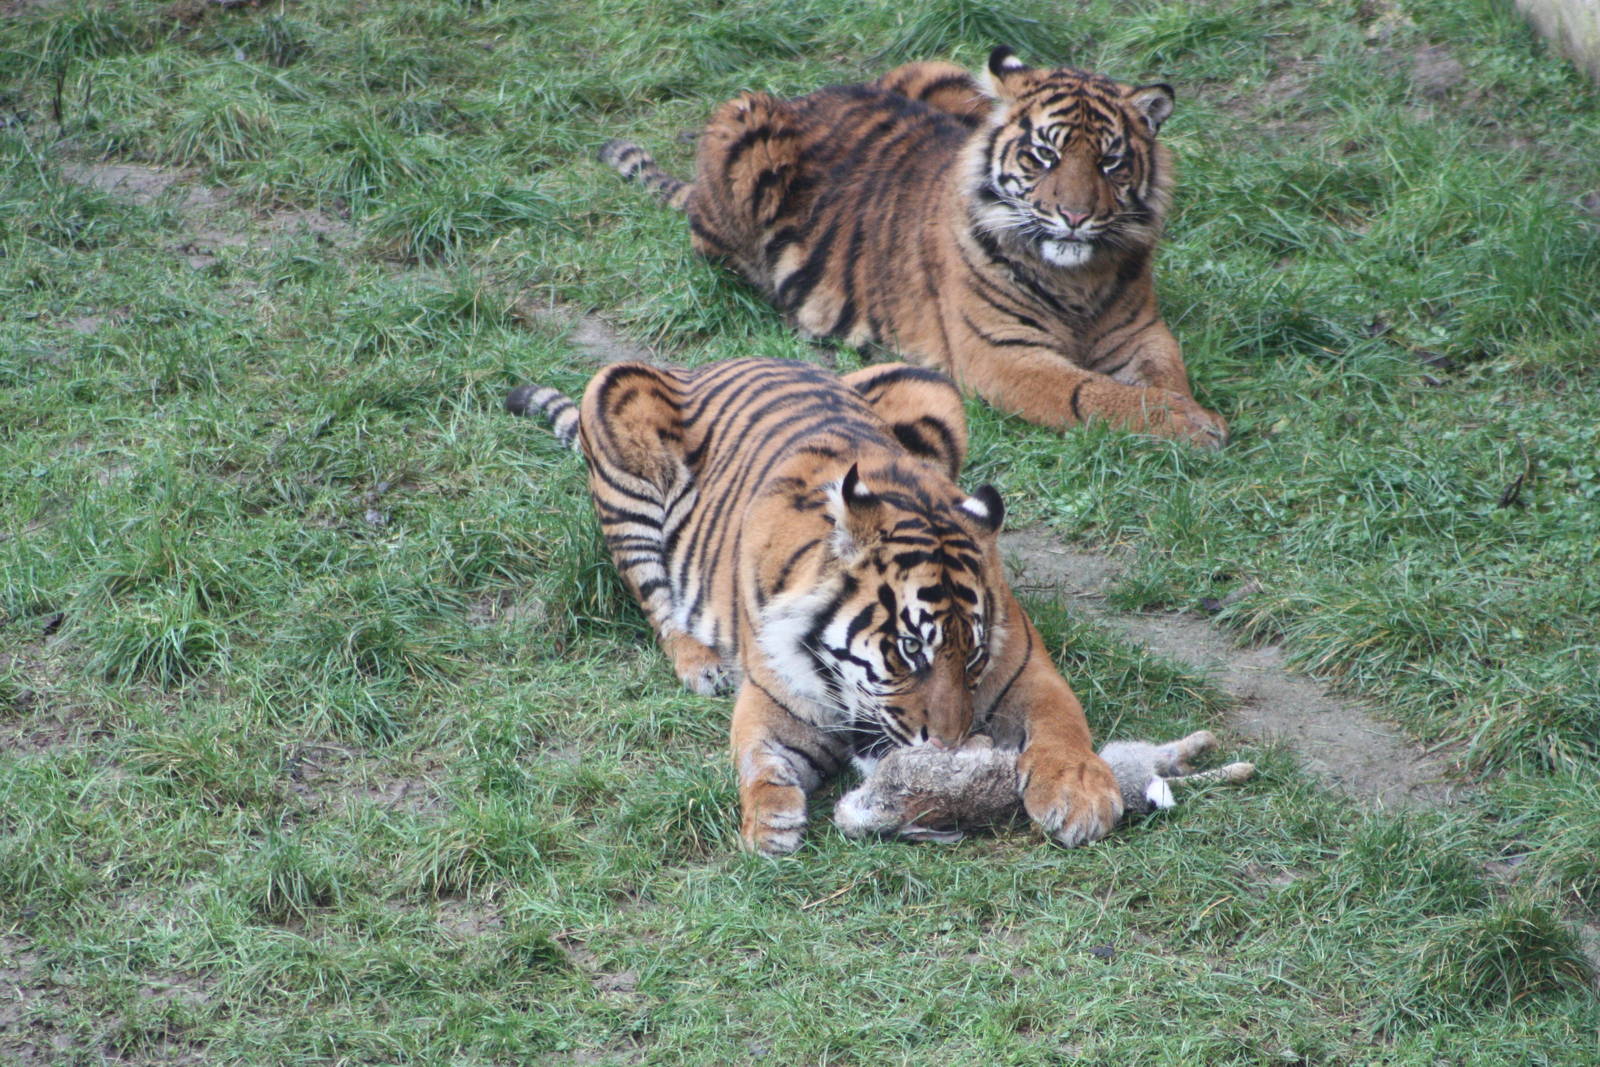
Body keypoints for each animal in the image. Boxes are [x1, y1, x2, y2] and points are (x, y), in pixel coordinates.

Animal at [507, 358, 1123, 855]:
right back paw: (700, 663)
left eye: (972, 656)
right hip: (615, 410)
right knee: (655, 598)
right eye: (909, 650)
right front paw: (769, 823)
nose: (947, 748)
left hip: (932, 385)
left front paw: (1081, 795)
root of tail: (710, 364)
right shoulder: (772, 700)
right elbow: (758, 757)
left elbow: (1062, 721)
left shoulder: (1027, 665)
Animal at [597, 47, 1227, 447]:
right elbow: (1093, 392)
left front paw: (1190, 412)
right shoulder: (1004, 354)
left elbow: (1166, 374)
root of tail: (804, 97)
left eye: (1111, 162)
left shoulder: (1141, 332)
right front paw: (1194, 425)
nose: (1075, 216)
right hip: (742, 120)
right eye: (1044, 156)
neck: (1078, 276)